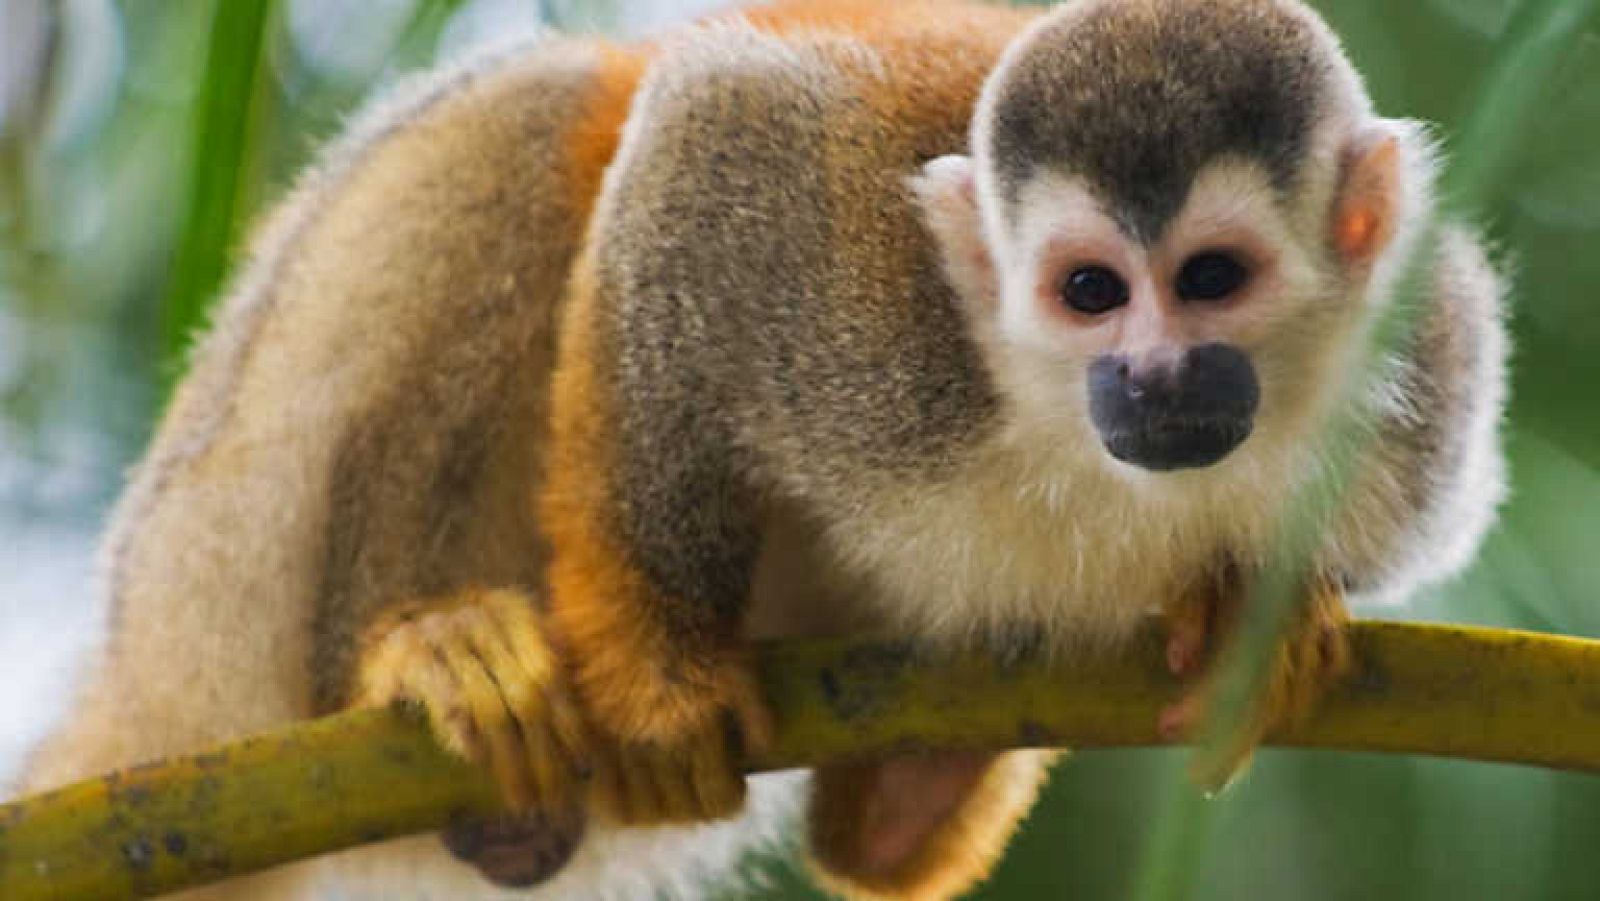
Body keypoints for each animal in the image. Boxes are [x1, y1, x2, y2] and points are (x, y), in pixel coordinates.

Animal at [15, 1, 1508, 900]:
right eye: (1091, 291)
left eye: (1209, 279)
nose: (1151, 379)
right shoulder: (868, 309)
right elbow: (708, 129)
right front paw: (660, 686)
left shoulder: (1428, 387)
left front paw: (1257, 619)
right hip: (217, 560)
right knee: (549, 114)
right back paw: (422, 655)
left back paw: (901, 804)